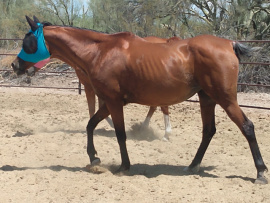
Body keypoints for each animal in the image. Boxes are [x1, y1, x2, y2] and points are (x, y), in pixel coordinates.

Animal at [11, 16, 266, 184]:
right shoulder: (109, 101)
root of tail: (229, 44)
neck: (99, 51)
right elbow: (90, 125)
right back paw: (192, 166)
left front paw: (124, 166)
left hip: (225, 99)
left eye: (27, 42)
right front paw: (94, 158)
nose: (14, 65)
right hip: (207, 99)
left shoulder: (113, 102)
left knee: (247, 127)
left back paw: (260, 173)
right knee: (208, 131)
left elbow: (120, 134)